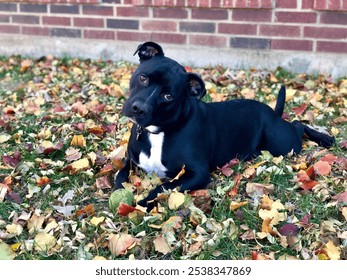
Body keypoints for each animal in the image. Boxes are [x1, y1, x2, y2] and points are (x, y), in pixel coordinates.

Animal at [115, 41, 336, 208]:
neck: (159, 131)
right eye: (143, 77)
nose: (139, 109)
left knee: (298, 125)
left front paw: (143, 203)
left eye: (168, 96)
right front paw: (120, 194)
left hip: (282, 144)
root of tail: (272, 112)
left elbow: (162, 187)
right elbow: (120, 175)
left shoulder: (197, 173)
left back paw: (325, 138)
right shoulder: (131, 161)